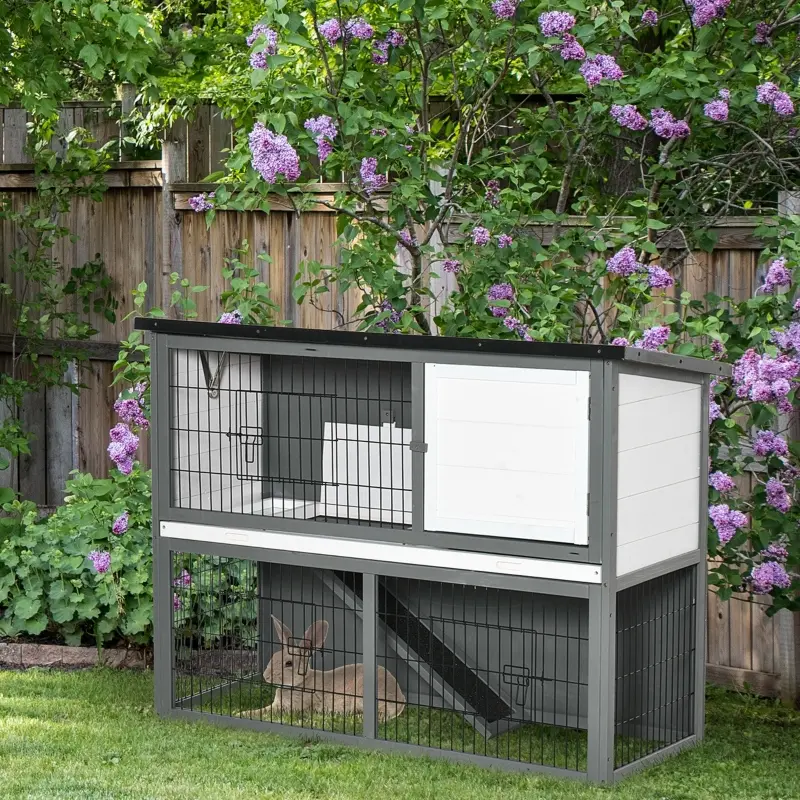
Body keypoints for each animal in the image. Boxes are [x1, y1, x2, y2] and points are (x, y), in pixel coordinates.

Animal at [243, 614, 405, 721]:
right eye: (274, 656)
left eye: (288, 663)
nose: (266, 676)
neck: (300, 682)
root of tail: (400, 699)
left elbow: (265, 711)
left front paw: (242, 714)